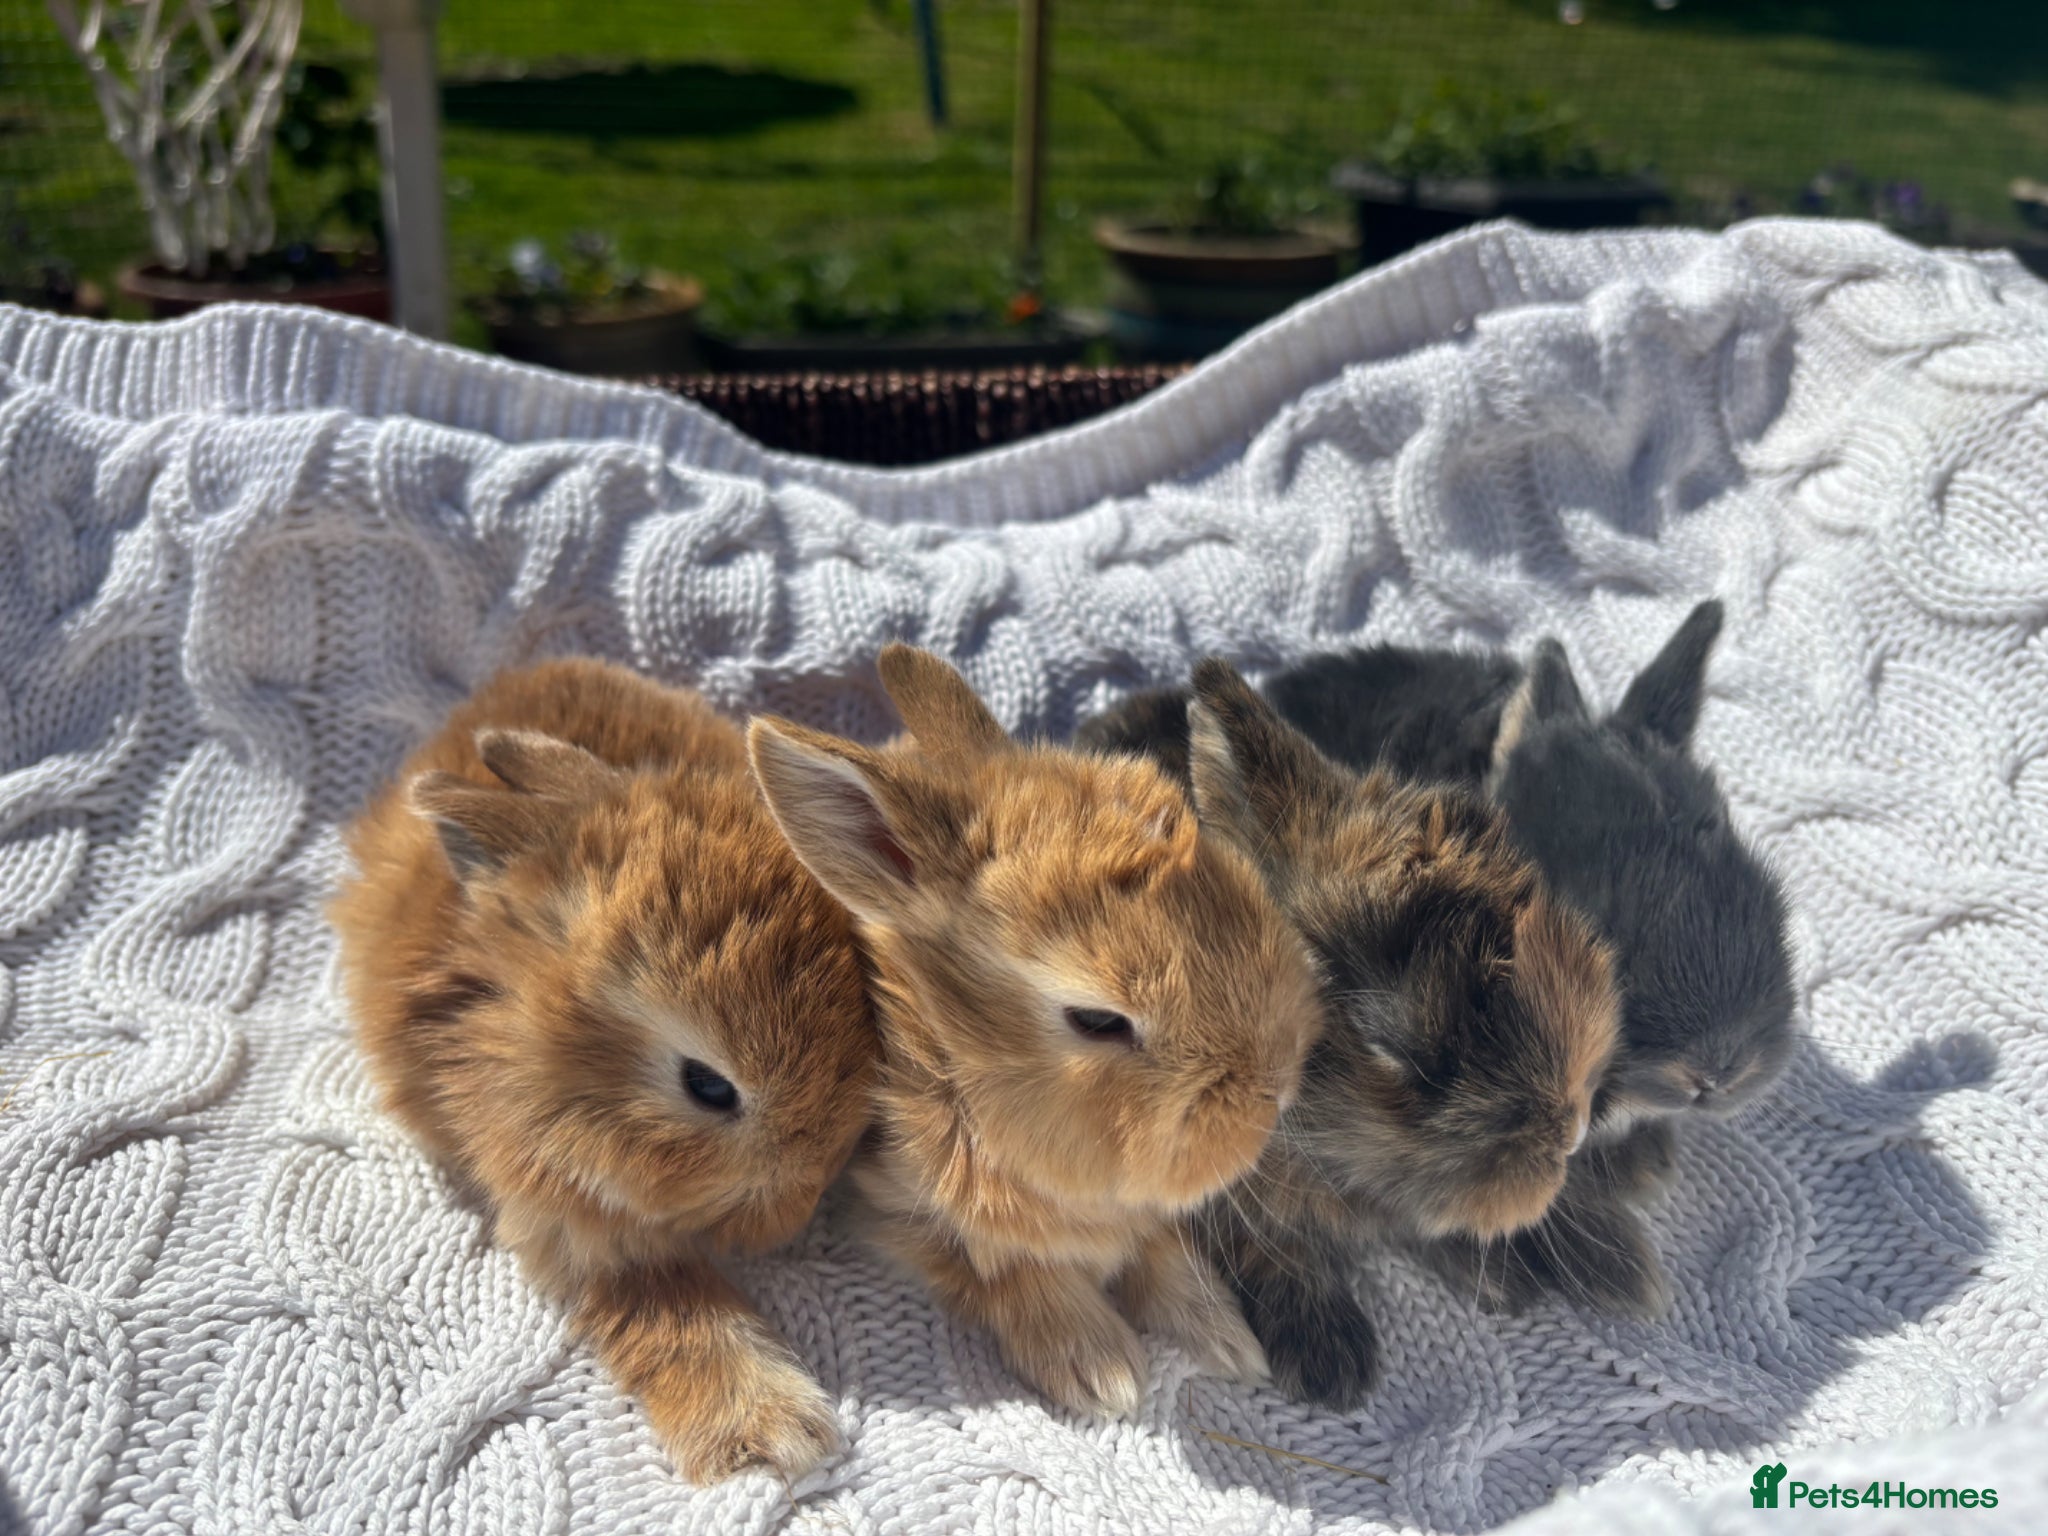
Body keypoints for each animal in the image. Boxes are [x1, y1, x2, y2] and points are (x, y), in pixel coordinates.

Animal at [745, 644, 1324, 1421]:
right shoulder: (905, 1210)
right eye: (1098, 1020)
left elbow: (1162, 1255)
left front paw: (1226, 1339)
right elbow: (1011, 1273)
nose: (1278, 1084)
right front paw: (1104, 1372)